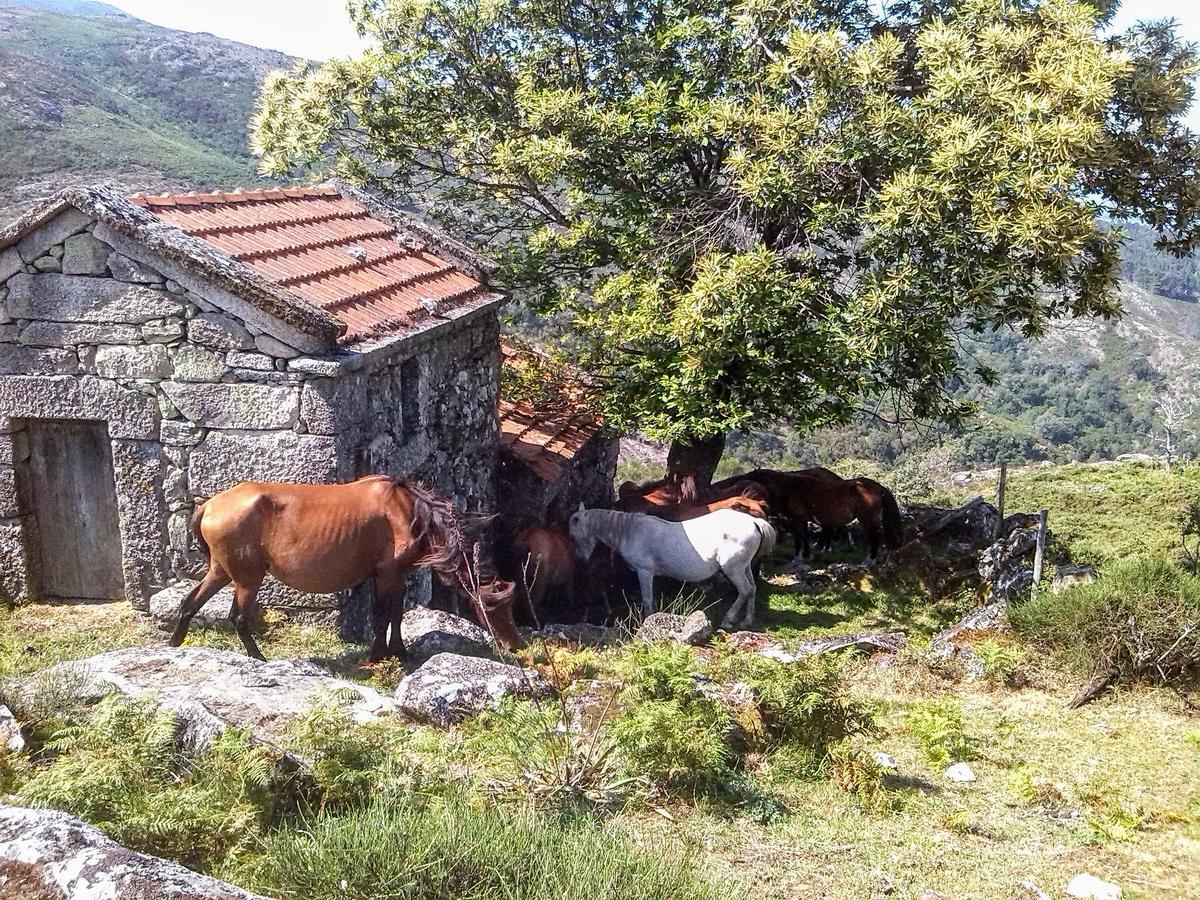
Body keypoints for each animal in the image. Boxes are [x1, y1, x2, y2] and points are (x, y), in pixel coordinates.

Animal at [169, 480, 520, 662]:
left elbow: (395, 614)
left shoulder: (393, 575)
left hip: (221, 570)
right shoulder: (387, 572)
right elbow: (383, 615)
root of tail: (209, 506)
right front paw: (380, 654)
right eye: (495, 606)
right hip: (247, 576)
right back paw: (259, 659)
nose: (515, 644)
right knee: (239, 618)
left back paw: (174, 645)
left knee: (189, 603)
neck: (410, 512)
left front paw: (398, 651)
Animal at [564, 508, 772, 633]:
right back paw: (747, 620)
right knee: (752, 589)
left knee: (744, 590)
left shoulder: (644, 571)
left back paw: (728, 620)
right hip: (744, 568)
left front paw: (646, 622)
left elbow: (647, 600)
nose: (581, 559)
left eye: (573, 536)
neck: (630, 531)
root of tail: (754, 521)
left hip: (733, 570)